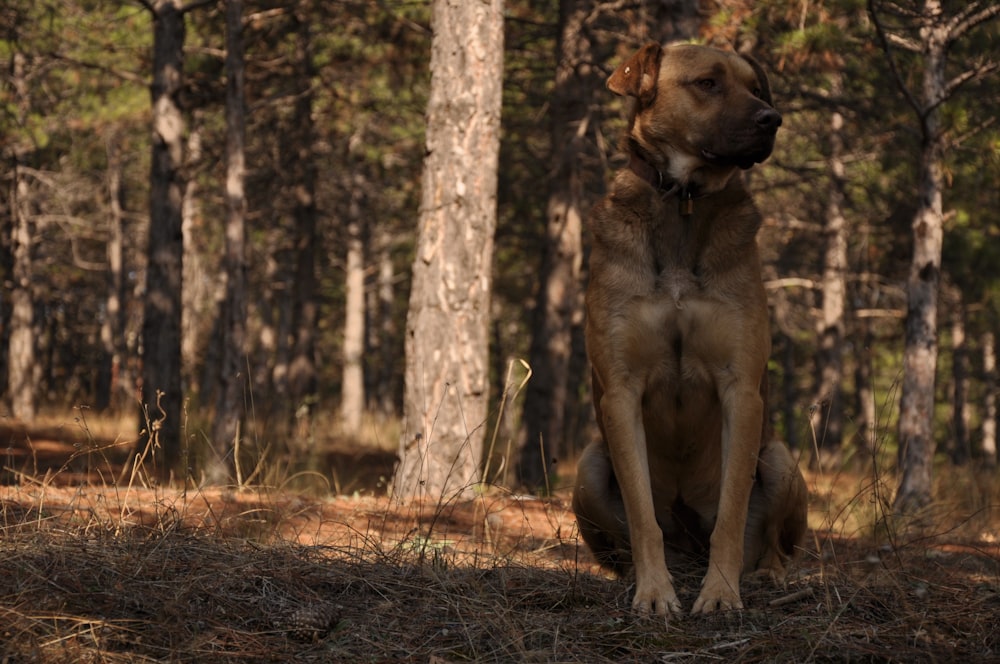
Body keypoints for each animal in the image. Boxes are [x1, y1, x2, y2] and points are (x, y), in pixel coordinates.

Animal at [576, 44, 808, 616]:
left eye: (757, 88)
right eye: (707, 83)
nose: (773, 119)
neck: (683, 199)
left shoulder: (741, 390)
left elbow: (731, 514)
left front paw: (721, 592)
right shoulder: (620, 392)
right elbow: (643, 517)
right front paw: (654, 592)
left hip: (781, 460)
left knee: (774, 543)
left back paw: (768, 575)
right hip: (588, 467)